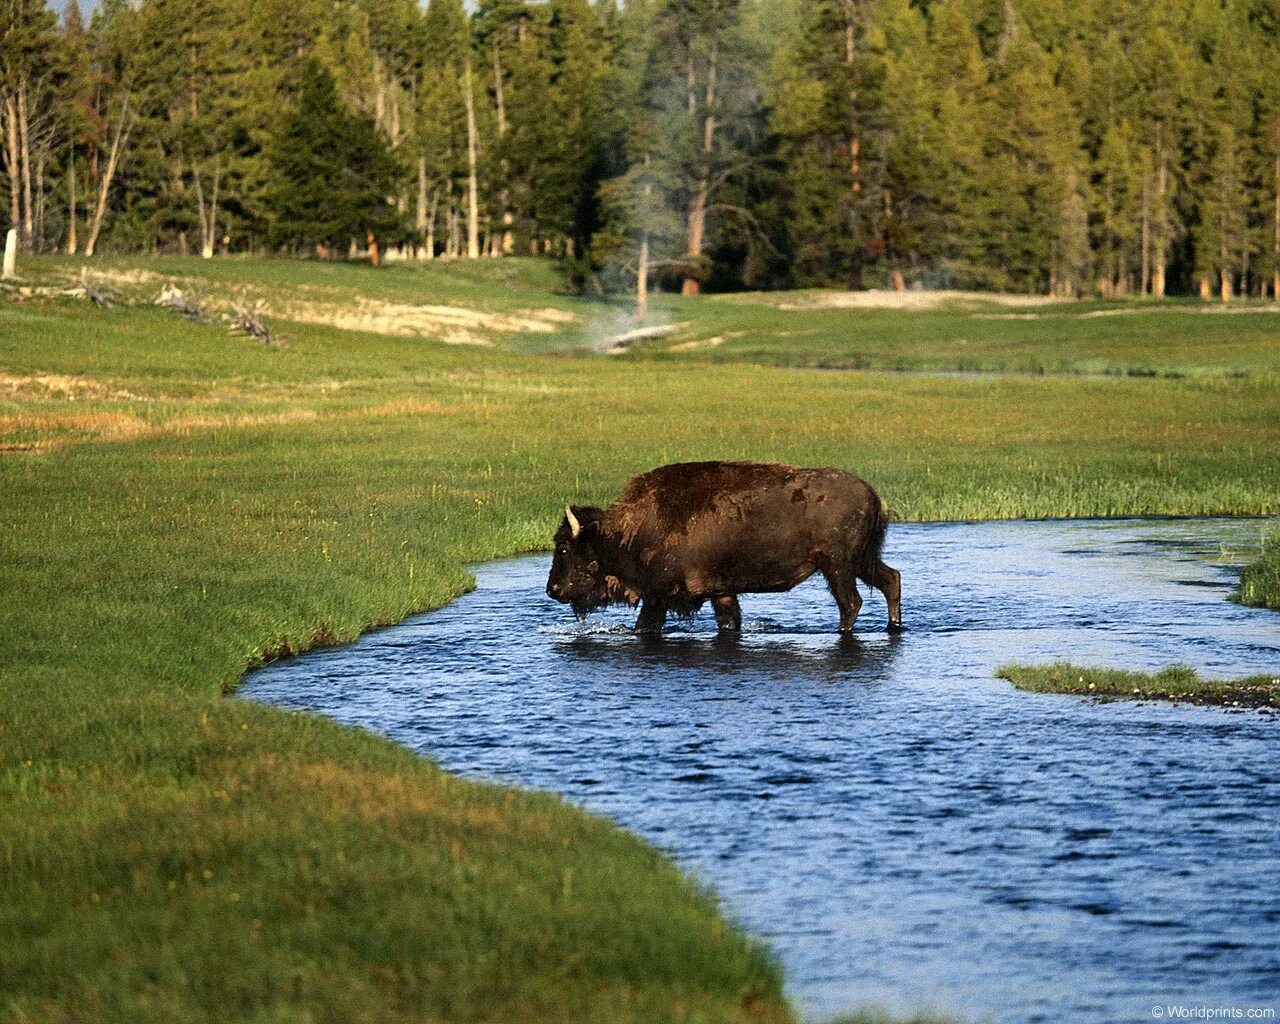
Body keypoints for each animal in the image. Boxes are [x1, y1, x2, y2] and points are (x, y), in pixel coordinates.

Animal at [547, 460, 901, 632]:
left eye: (563, 548)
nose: (552, 590)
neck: (624, 532)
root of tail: (873, 494)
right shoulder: (722, 592)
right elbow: (729, 621)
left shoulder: (657, 596)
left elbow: (645, 626)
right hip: (860, 561)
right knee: (890, 579)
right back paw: (893, 626)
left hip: (837, 566)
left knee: (851, 602)